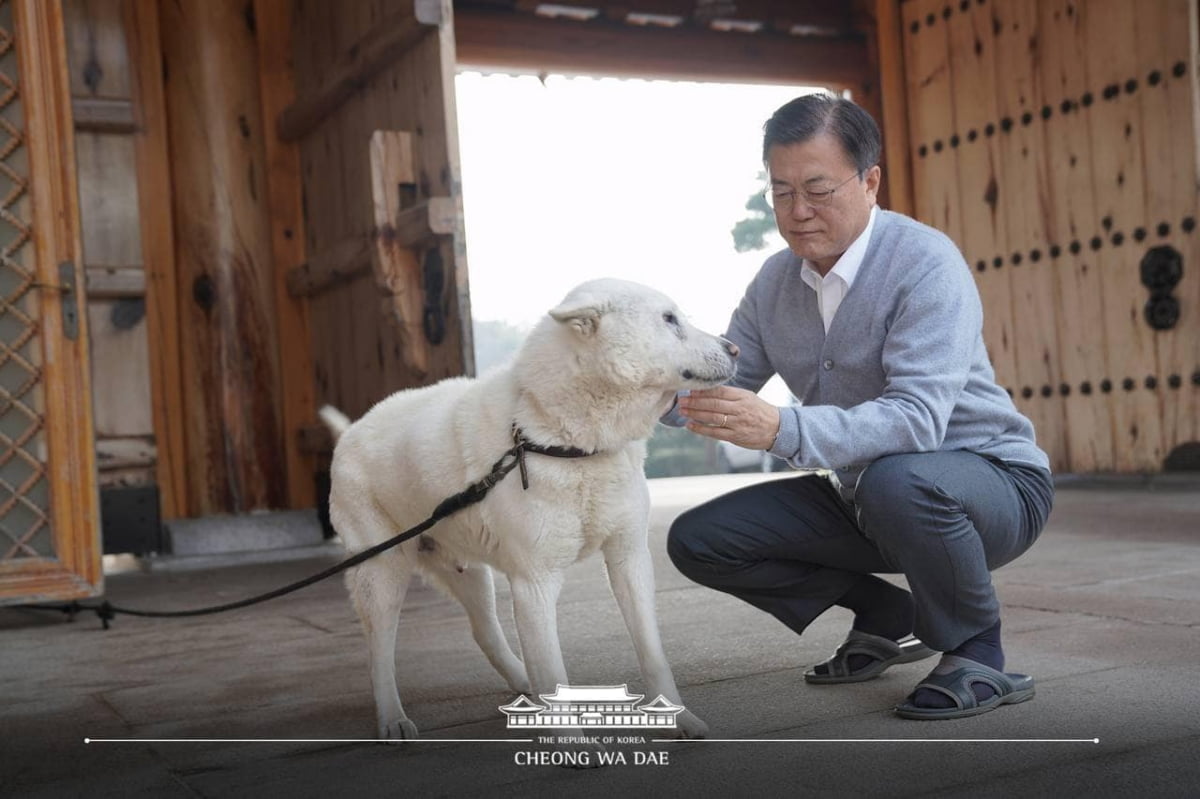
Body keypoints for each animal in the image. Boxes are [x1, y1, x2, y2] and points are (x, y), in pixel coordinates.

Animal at [326, 277, 739, 739]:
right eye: (669, 319)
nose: (735, 349)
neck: (562, 441)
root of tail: (351, 430)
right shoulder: (534, 584)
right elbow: (553, 671)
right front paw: (572, 744)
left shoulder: (630, 559)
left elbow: (651, 653)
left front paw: (678, 717)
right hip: (382, 575)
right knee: (378, 651)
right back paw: (393, 718)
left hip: (470, 575)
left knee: (485, 632)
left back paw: (524, 684)